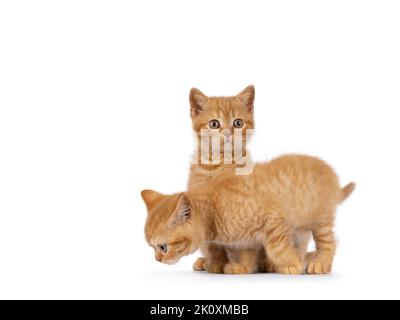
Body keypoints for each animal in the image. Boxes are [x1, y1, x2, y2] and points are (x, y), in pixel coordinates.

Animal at [142, 155, 354, 276]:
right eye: (152, 247)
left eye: (162, 247)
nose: (157, 260)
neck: (215, 206)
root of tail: (329, 170)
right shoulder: (244, 236)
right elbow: (245, 252)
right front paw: (242, 267)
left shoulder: (273, 221)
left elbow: (277, 248)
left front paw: (292, 264)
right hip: (300, 227)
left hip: (320, 219)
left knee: (328, 243)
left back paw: (319, 263)